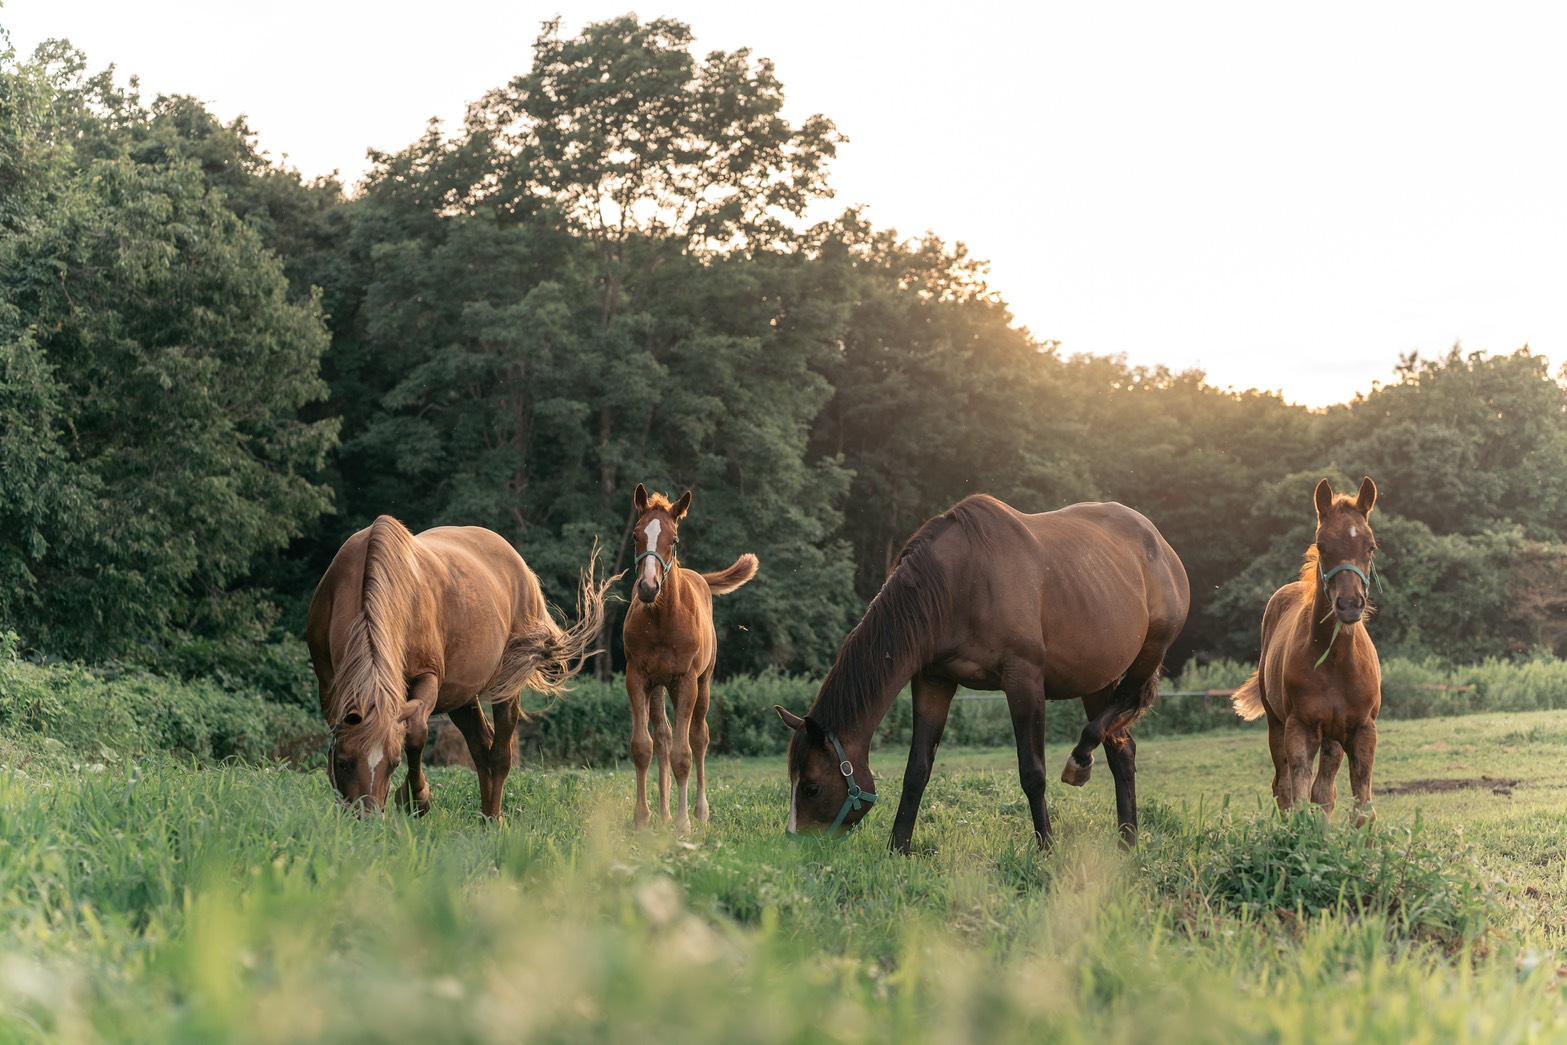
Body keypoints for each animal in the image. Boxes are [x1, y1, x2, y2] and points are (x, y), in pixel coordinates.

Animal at [307, 515, 613, 819]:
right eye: (344, 762)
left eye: (394, 763)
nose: (367, 818)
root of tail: (521, 568)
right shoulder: (329, 683)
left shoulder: (428, 678)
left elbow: (416, 734)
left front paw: (416, 799)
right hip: (461, 699)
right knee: (480, 748)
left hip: (506, 687)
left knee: (499, 754)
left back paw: (494, 820)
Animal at [623, 484, 759, 832]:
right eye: (636, 535)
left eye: (674, 540)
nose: (647, 587)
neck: (662, 618)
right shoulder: (637, 677)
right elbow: (642, 746)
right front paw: (642, 818)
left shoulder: (686, 682)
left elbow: (683, 754)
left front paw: (684, 823)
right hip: (660, 686)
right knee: (663, 737)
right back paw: (664, 812)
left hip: (703, 682)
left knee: (699, 738)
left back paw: (699, 811)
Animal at [774, 494, 1190, 850]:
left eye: (811, 787)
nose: (796, 845)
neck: (958, 582)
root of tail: (1159, 544)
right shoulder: (934, 680)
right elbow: (917, 770)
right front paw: (899, 848)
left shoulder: (1023, 679)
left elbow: (1032, 773)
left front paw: (1047, 848)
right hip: (1097, 679)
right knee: (1121, 752)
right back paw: (1126, 842)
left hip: (1146, 657)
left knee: (1111, 723)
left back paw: (1081, 766)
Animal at [1231, 477, 1382, 824]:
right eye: (1322, 545)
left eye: (1370, 546)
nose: (1349, 604)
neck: (1337, 661)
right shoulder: (1299, 727)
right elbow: (1298, 796)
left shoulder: (1362, 730)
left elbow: (1359, 806)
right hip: (1277, 724)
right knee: (1283, 785)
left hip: (1333, 737)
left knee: (1325, 791)